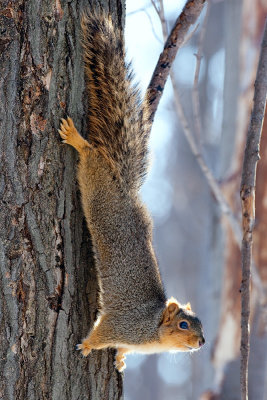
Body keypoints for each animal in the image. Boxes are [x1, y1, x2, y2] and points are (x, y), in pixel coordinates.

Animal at [58, 10, 205, 372]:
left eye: (201, 324)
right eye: (184, 324)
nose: (202, 342)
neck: (153, 334)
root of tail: (124, 190)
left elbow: (122, 348)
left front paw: (122, 359)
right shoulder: (122, 324)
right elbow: (102, 333)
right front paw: (86, 345)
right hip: (96, 187)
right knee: (92, 156)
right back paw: (77, 139)